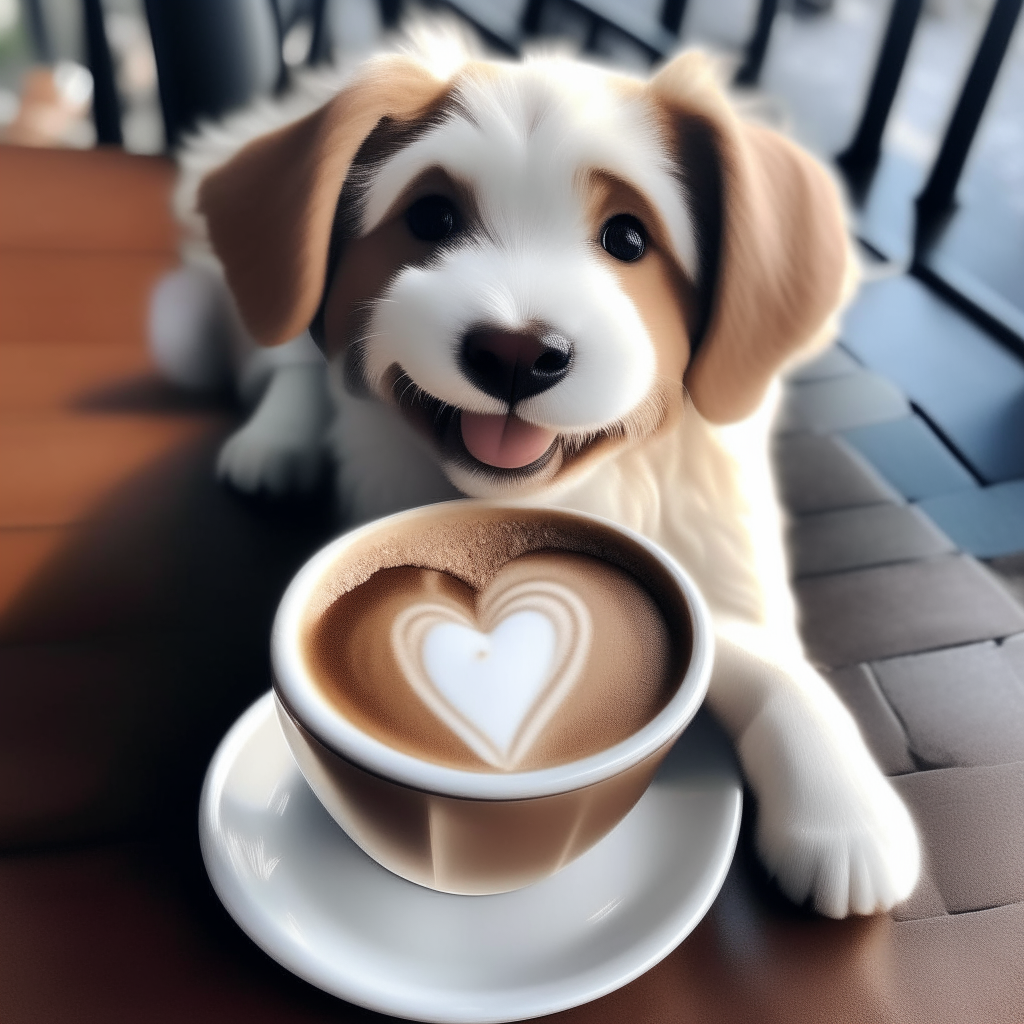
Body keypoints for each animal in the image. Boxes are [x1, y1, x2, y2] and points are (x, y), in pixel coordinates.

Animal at [157, 25, 921, 921]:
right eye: (431, 218)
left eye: (629, 239)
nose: (516, 351)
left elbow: (755, 648)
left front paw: (844, 809)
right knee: (288, 357)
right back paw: (276, 440)